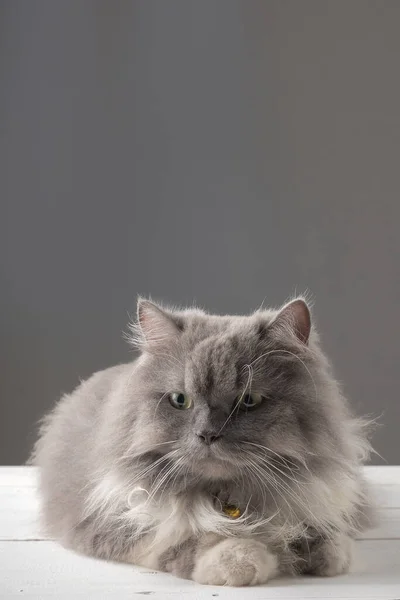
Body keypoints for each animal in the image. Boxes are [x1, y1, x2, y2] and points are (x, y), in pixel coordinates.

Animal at [32, 296, 376, 584]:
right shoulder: (114, 523)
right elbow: (184, 539)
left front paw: (322, 551)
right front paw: (242, 558)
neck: (228, 496)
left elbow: (325, 532)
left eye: (248, 400)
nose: (208, 434)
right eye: (180, 400)